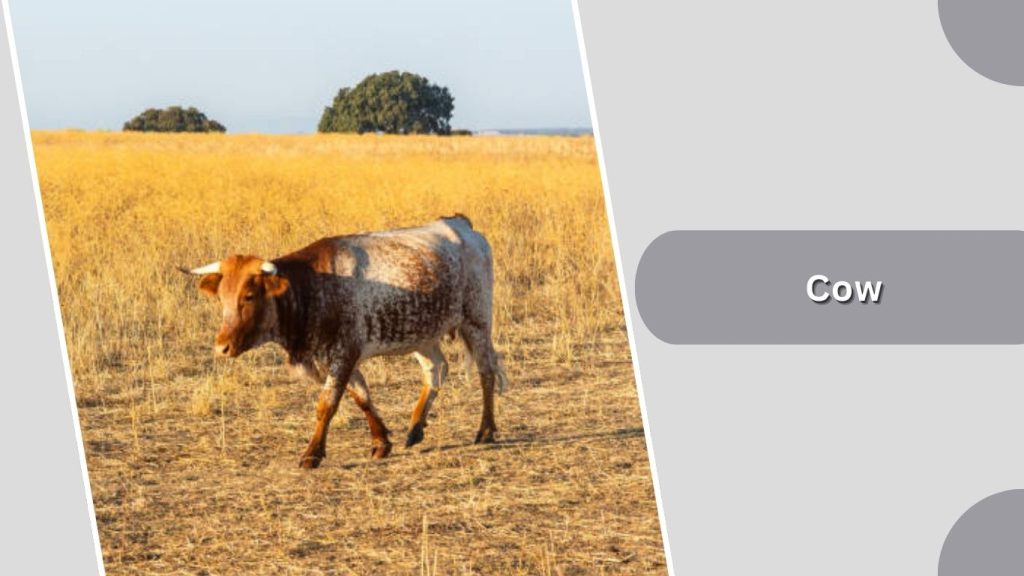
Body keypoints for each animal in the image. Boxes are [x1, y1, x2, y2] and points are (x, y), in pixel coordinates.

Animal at [184, 214, 508, 469]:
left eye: (249, 296)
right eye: (221, 296)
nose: (222, 347)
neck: (312, 287)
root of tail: (460, 223)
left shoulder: (345, 353)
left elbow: (327, 404)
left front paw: (312, 454)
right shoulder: (332, 357)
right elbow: (361, 396)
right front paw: (381, 442)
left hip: (477, 321)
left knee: (486, 371)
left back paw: (486, 431)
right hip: (423, 334)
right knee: (436, 370)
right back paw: (415, 428)